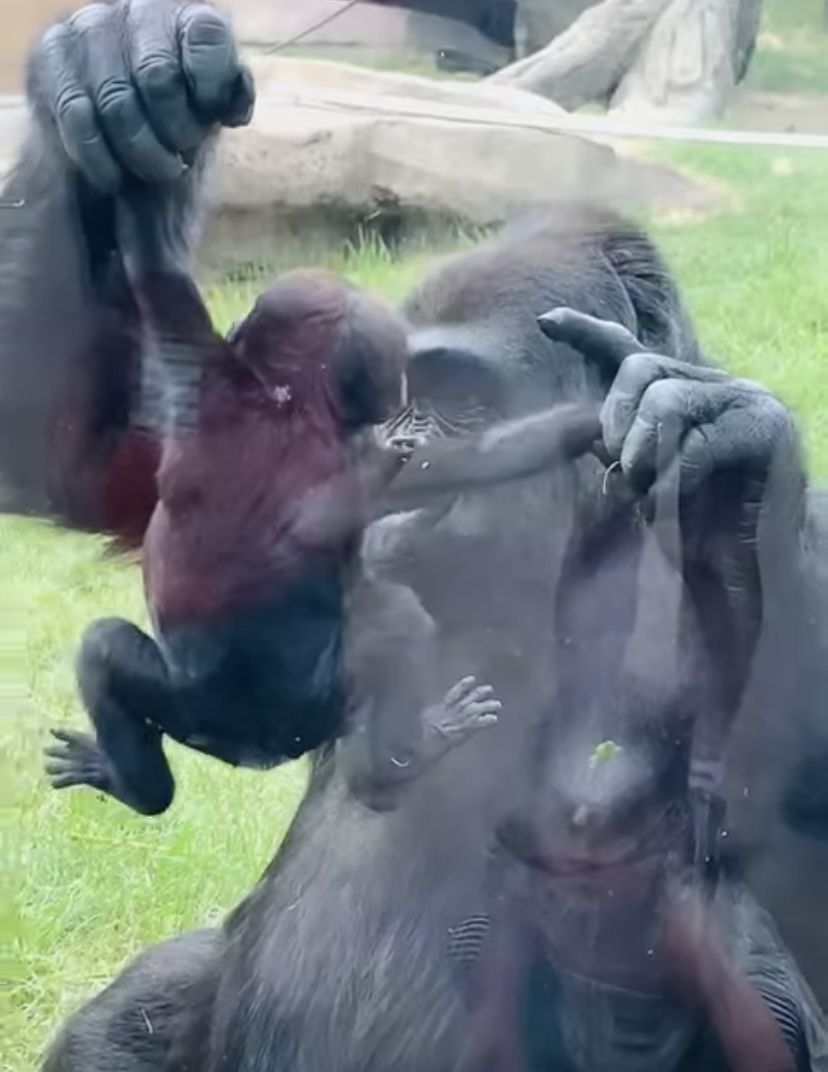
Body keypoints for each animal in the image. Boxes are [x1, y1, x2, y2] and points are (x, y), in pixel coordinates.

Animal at [45, 188, 600, 814]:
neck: (287, 403)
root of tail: (252, 749)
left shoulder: (210, 382)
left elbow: (157, 291)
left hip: (240, 707)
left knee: (106, 649)